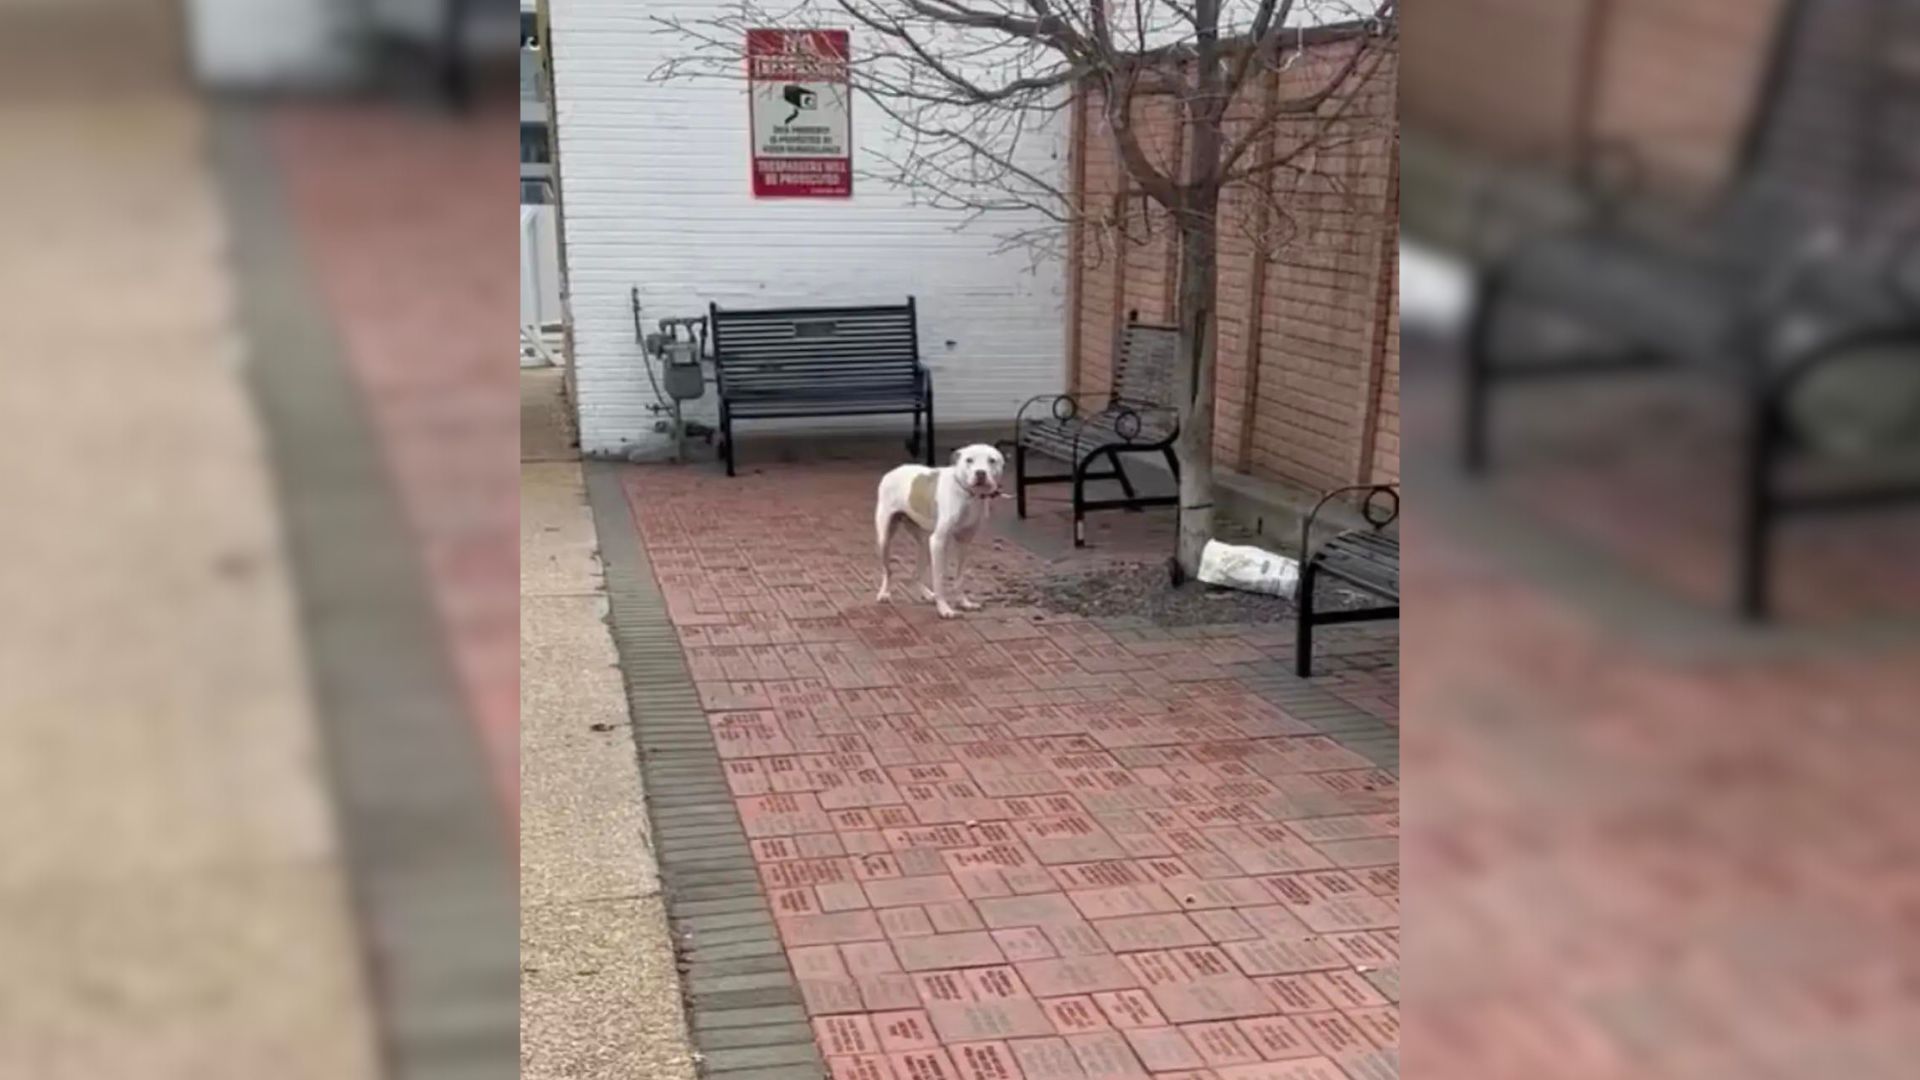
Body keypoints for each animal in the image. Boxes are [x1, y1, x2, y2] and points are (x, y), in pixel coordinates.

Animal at [879, 441, 1013, 618]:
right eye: (969, 460)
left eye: (992, 460)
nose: (980, 473)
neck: (967, 494)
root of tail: (892, 471)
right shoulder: (939, 541)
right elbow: (939, 578)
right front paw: (944, 608)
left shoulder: (964, 542)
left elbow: (960, 577)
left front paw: (964, 603)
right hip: (885, 538)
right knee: (888, 570)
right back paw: (884, 594)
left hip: (924, 544)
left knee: (916, 574)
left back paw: (927, 594)